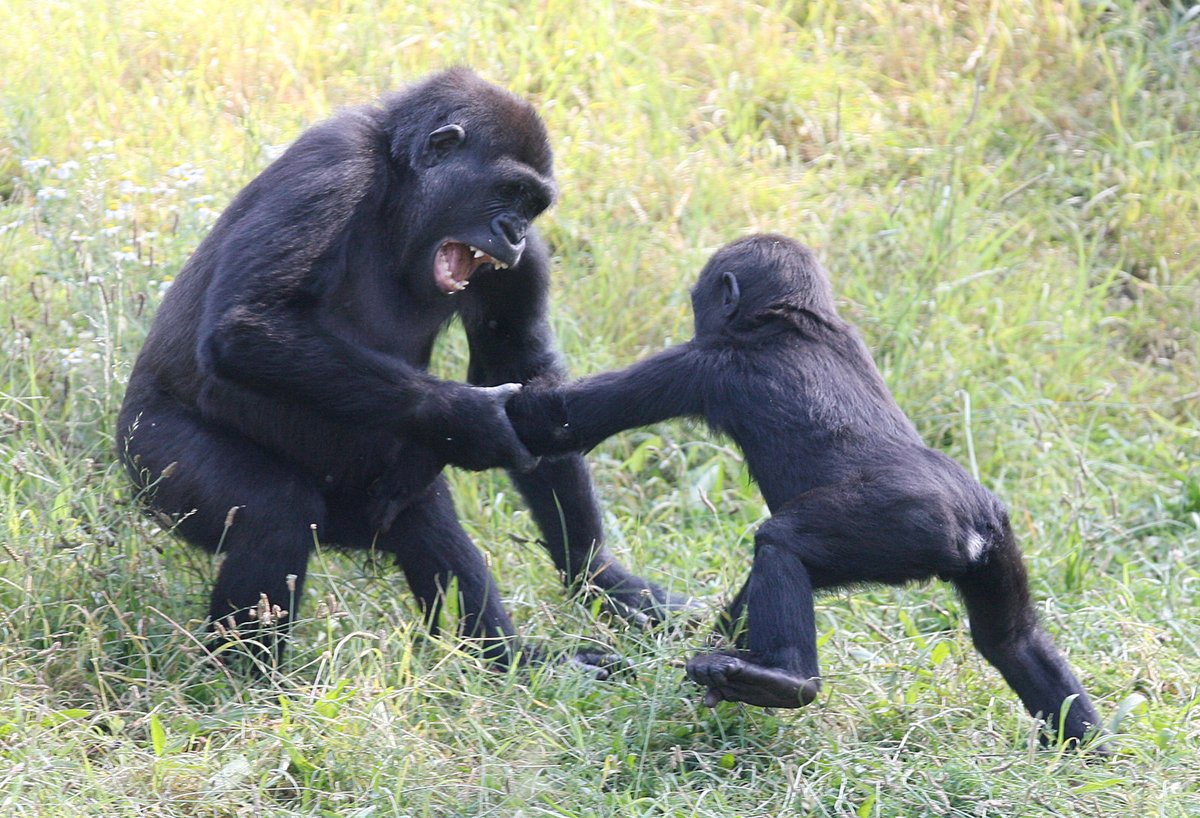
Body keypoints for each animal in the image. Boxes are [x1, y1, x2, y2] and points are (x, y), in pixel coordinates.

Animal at [121, 70, 691, 666]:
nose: (513, 231)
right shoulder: (334, 163)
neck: (400, 190)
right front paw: (470, 419)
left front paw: (597, 575)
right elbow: (246, 323)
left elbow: (525, 372)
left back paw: (508, 661)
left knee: (425, 523)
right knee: (273, 511)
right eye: (508, 191)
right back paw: (242, 676)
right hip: (148, 463)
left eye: (533, 205)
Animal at [506, 232, 1104, 743]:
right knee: (1010, 638)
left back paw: (786, 681)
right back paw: (1085, 743)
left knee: (780, 543)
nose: (696, 308)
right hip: (996, 537)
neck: (794, 320)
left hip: (901, 526)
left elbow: (554, 419)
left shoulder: (701, 364)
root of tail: (970, 529)